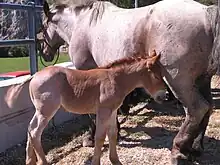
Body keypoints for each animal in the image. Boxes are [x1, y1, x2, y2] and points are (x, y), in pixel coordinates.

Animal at [25, 50, 167, 165]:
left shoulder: (112, 112)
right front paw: (96, 162)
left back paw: (30, 161)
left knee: (30, 128)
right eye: (156, 76)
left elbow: (112, 134)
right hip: (46, 110)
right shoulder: (103, 112)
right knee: (35, 132)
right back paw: (42, 162)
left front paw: (115, 160)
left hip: (40, 111)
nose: (164, 96)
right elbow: (100, 137)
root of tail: (34, 76)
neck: (115, 80)